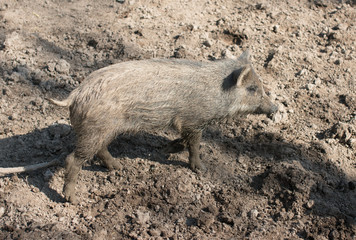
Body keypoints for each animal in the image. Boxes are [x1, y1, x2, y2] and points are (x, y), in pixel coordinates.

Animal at [50, 50, 278, 202]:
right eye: (252, 88)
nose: (275, 108)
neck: (216, 93)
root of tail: (74, 96)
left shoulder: (187, 123)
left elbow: (184, 141)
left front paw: (166, 148)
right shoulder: (193, 121)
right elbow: (194, 145)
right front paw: (201, 169)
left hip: (103, 130)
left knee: (99, 149)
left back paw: (118, 167)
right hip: (95, 130)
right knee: (73, 159)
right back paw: (72, 199)